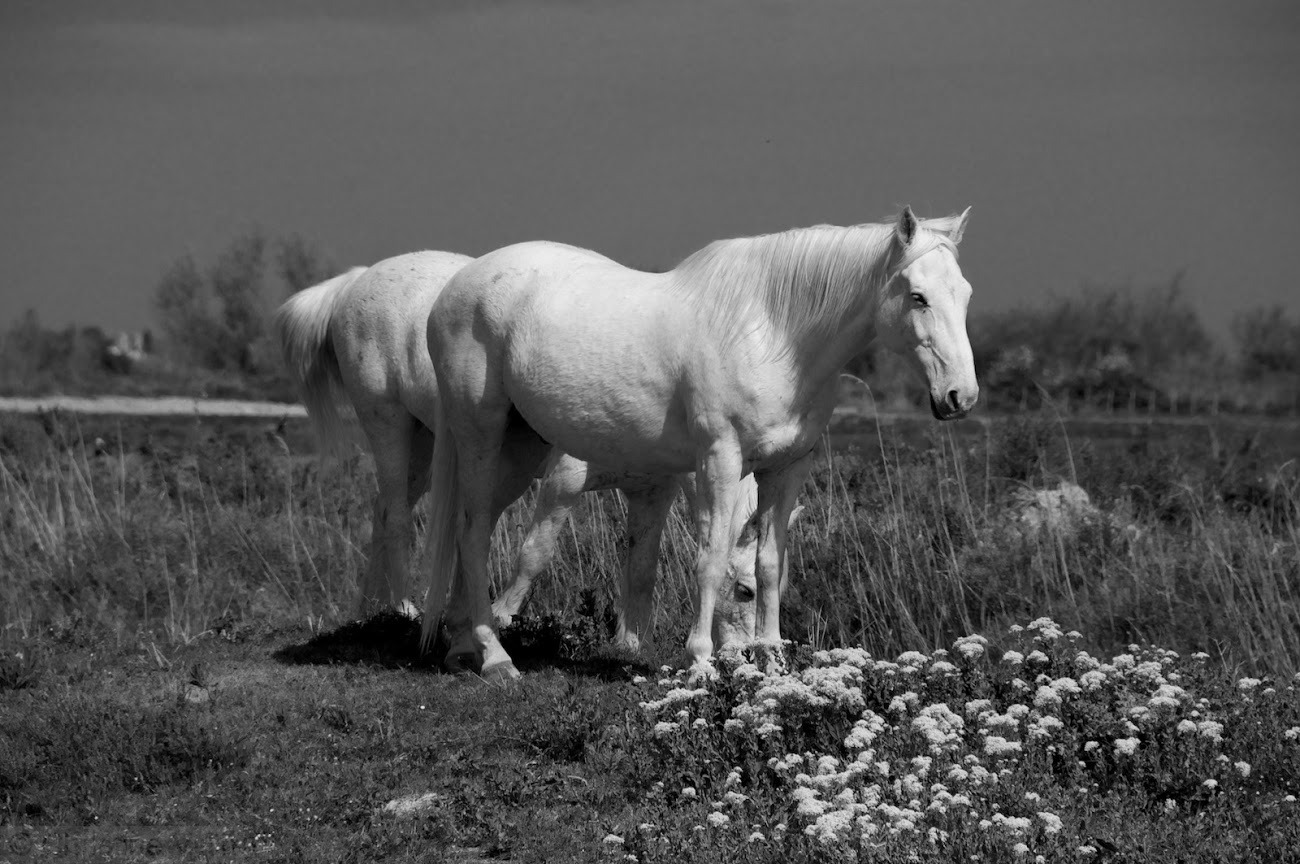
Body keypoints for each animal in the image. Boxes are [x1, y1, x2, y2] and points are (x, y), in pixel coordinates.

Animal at [273, 249, 780, 660]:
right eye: (746, 591)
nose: (742, 658)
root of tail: (355, 281)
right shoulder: (563, 482)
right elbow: (535, 552)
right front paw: (499, 617)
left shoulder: (652, 493)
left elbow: (640, 567)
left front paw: (631, 643)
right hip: (389, 423)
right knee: (398, 517)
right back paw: (404, 610)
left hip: (425, 444)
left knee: (382, 512)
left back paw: (368, 613)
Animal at [418, 205, 977, 675]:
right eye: (918, 296)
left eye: (966, 294)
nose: (961, 396)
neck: (774, 334)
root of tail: (454, 288)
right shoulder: (720, 460)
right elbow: (709, 560)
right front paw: (702, 662)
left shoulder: (786, 468)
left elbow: (768, 561)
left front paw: (773, 663)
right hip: (481, 435)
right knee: (473, 532)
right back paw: (495, 658)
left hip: (521, 446)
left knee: (477, 526)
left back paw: (464, 645)